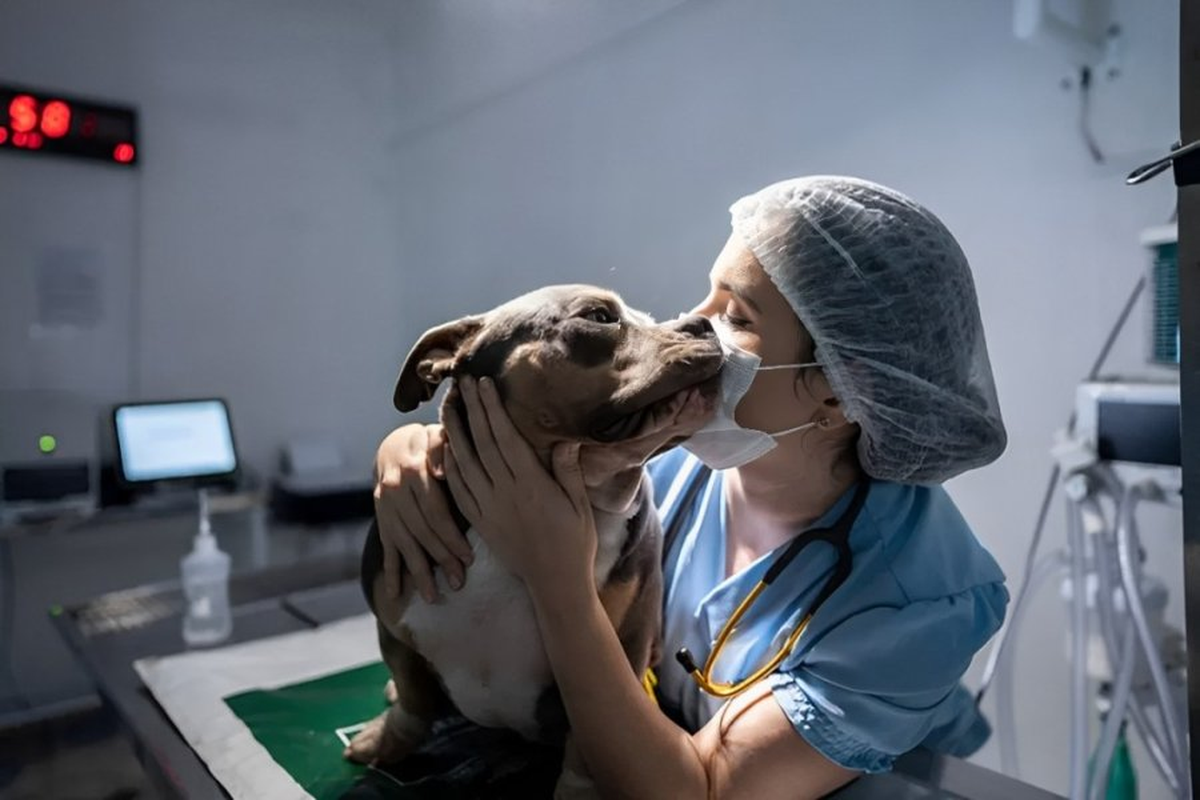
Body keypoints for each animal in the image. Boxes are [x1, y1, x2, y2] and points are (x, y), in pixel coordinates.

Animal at [350, 286, 720, 796]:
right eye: (600, 317)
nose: (705, 324)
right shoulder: (392, 629)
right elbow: (412, 698)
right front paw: (387, 740)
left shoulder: (617, 653)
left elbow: (584, 748)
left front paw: (577, 792)